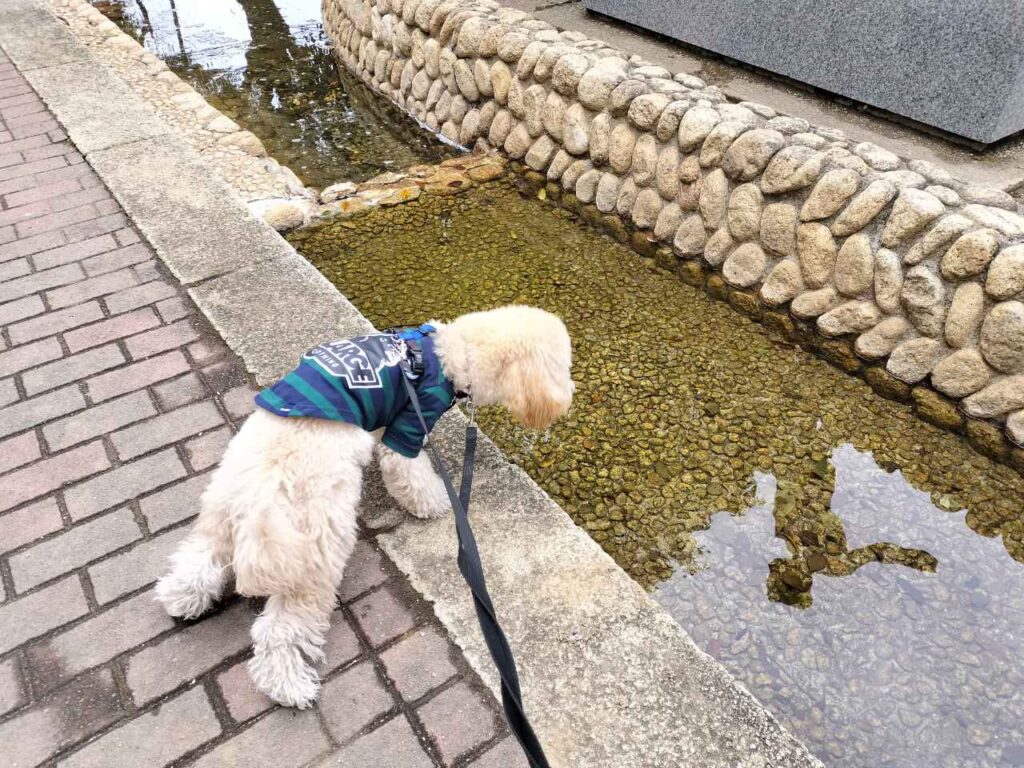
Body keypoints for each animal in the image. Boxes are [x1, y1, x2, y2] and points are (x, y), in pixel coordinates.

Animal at [155, 305, 573, 708]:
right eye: (564, 367)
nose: (569, 393)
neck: (448, 351)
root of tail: (260, 503)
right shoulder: (412, 420)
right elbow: (409, 472)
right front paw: (437, 503)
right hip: (315, 557)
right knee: (280, 632)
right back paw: (289, 687)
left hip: (220, 512)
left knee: (199, 560)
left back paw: (182, 599)